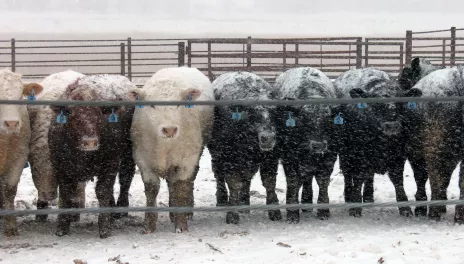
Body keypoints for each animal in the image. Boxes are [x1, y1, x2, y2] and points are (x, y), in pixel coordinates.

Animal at [127, 66, 214, 233]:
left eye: (179, 104)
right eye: (152, 105)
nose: (169, 129)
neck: (164, 146)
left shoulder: (187, 160)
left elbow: (181, 187)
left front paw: (181, 225)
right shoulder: (143, 159)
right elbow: (151, 190)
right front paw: (149, 225)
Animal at [208, 71, 280, 224]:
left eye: (275, 113)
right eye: (253, 114)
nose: (267, 138)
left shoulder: (271, 157)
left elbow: (270, 182)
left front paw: (274, 210)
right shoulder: (230, 158)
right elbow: (234, 183)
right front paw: (232, 213)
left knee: (246, 178)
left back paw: (245, 202)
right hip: (216, 155)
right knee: (219, 175)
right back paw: (222, 199)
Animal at [272, 67, 338, 224]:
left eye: (328, 120)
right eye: (304, 119)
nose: (318, 146)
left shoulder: (329, 157)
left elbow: (323, 181)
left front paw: (323, 210)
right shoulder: (289, 159)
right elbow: (293, 182)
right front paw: (292, 213)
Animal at [332, 67, 422, 217]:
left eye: (401, 102)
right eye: (375, 103)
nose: (391, 124)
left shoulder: (399, 156)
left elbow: (398, 180)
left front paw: (404, 207)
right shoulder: (359, 155)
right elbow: (358, 178)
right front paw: (355, 206)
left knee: (369, 175)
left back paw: (368, 197)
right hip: (345, 153)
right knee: (347, 173)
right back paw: (349, 196)